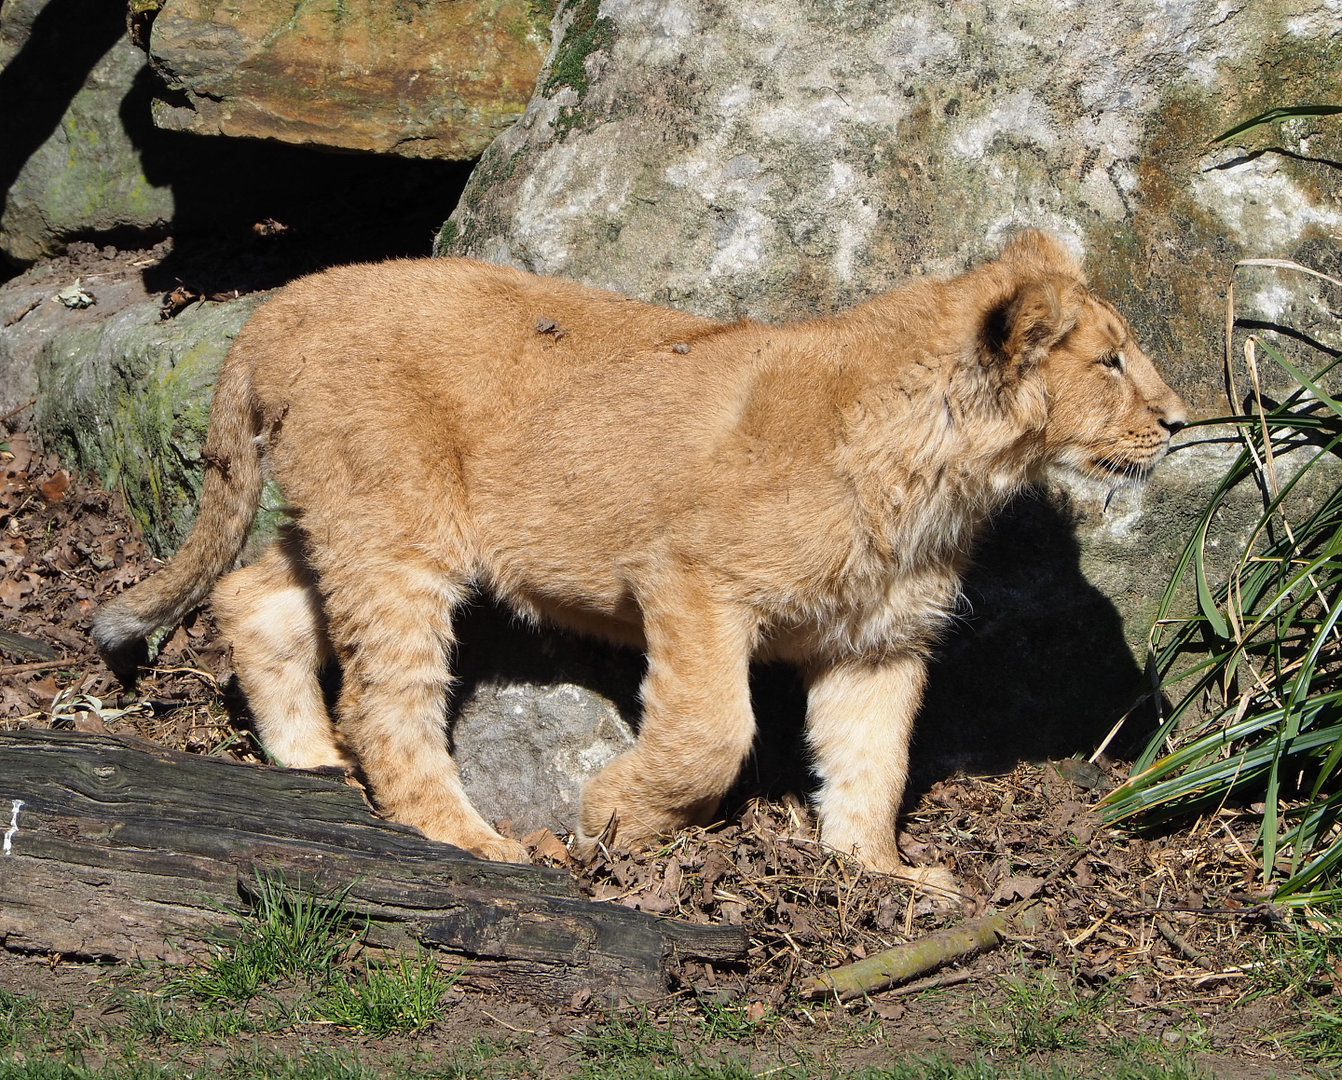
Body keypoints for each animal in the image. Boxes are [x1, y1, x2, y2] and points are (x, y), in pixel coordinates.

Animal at [93, 231, 1185, 892]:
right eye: (1110, 360)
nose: (1179, 420)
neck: (945, 472)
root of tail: (280, 307)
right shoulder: (691, 579)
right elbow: (714, 732)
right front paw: (613, 815)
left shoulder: (877, 640)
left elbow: (872, 760)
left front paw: (876, 873)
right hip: (399, 532)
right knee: (385, 701)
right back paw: (470, 839)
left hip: (348, 518)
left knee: (252, 596)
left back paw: (309, 764)